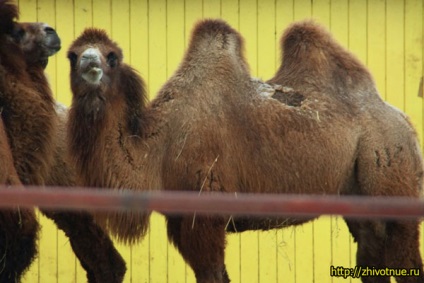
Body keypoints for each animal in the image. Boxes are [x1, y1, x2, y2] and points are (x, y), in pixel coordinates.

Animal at [67, 20, 424, 283]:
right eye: (72, 54)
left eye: (112, 55)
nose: (90, 63)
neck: (158, 148)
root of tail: (405, 124)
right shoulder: (181, 220)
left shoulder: (205, 214)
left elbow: (212, 274)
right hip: (359, 195)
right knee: (372, 254)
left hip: (391, 169)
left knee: (405, 258)